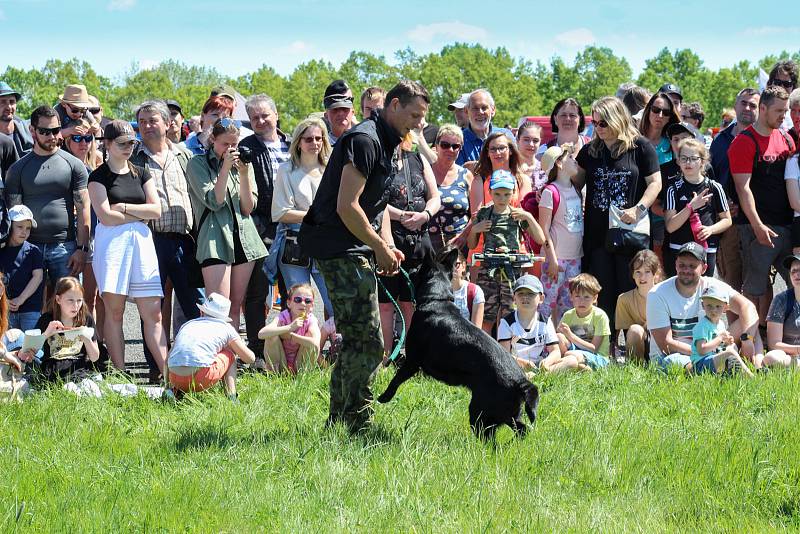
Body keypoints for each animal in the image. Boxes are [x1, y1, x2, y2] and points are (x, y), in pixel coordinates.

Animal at [378, 247, 540, 440]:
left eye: (418, 268)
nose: (409, 268)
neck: (437, 300)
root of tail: (521, 382)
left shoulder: (412, 362)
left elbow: (396, 380)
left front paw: (384, 397)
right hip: (506, 413)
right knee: (521, 428)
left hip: (479, 412)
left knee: (490, 435)